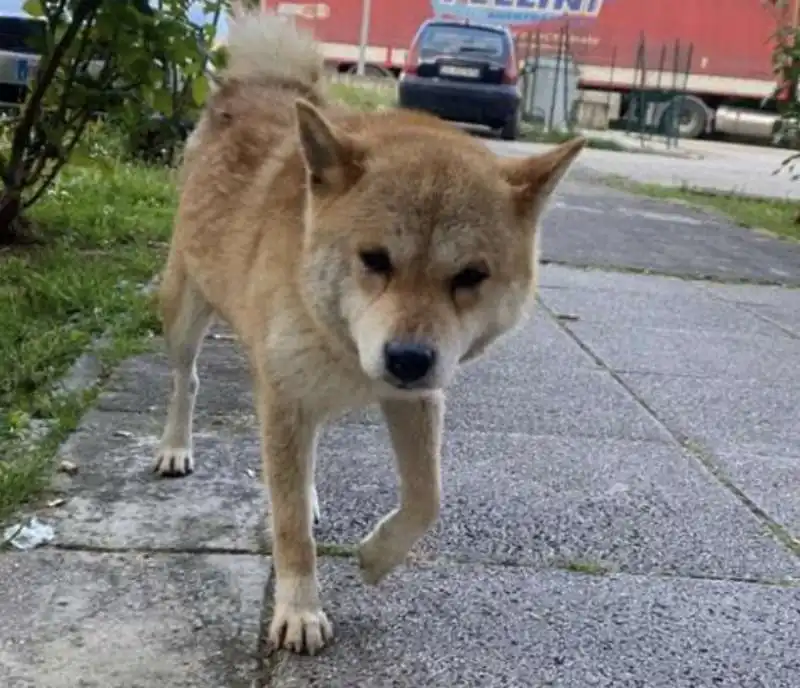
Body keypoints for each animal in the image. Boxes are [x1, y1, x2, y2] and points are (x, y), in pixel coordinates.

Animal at [155, 9, 580, 656]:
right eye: (374, 259)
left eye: (470, 276)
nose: (407, 358)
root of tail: (259, 85)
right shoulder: (286, 397)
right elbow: (289, 530)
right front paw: (299, 609)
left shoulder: (416, 398)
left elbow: (427, 497)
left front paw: (378, 556)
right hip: (185, 307)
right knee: (186, 379)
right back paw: (176, 446)